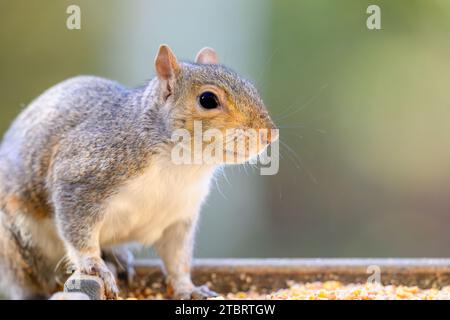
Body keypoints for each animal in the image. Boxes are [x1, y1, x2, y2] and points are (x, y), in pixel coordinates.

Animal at [0, 45, 278, 300]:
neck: (182, 166)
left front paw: (188, 288)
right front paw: (94, 266)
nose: (269, 134)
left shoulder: (179, 217)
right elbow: (78, 230)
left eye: (251, 88)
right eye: (208, 100)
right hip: (17, 243)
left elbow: (177, 258)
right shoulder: (82, 176)